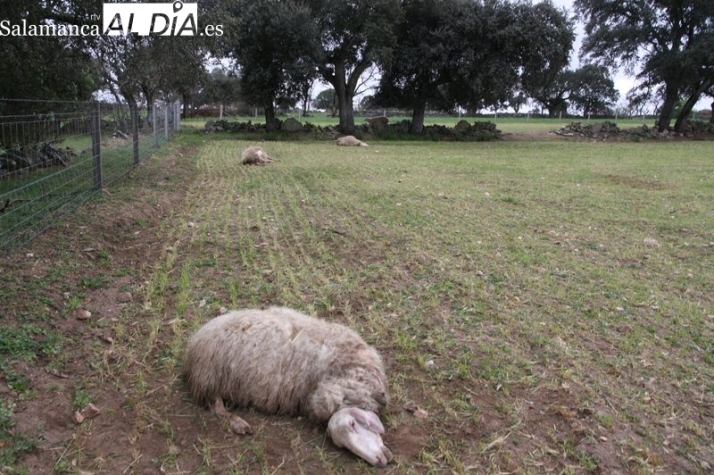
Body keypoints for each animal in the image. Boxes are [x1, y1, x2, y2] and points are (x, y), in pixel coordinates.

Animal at [182, 307, 393, 467]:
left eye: (352, 424)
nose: (379, 461)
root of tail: (194, 342)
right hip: (211, 378)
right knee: (216, 407)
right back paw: (239, 424)